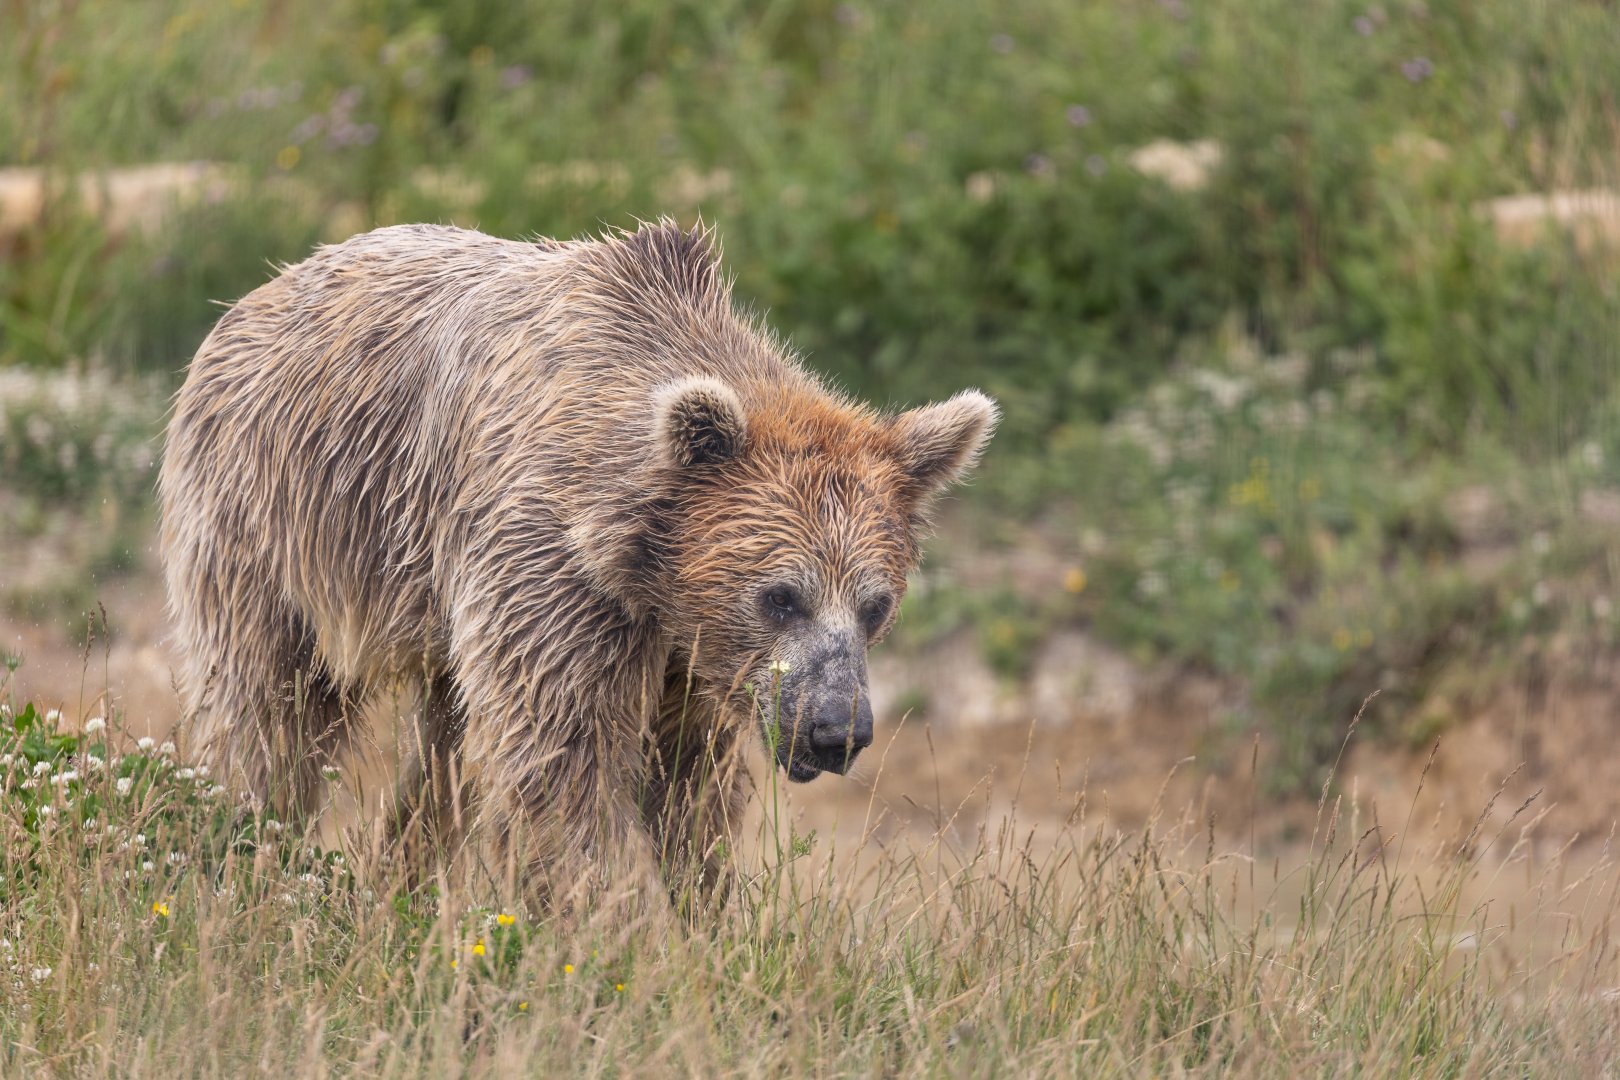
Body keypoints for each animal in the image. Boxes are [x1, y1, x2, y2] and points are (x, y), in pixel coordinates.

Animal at [158, 220, 996, 908]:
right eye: (782, 595)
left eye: (875, 604)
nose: (835, 730)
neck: (644, 562)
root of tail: (259, 290)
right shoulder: (555, 576)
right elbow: (563, 763)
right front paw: (622, 929)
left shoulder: (683, 651)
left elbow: (687, 782)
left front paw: (704, 909)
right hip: (274, 520)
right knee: (270, 710)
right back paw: (247, 854)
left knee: (443, 749)